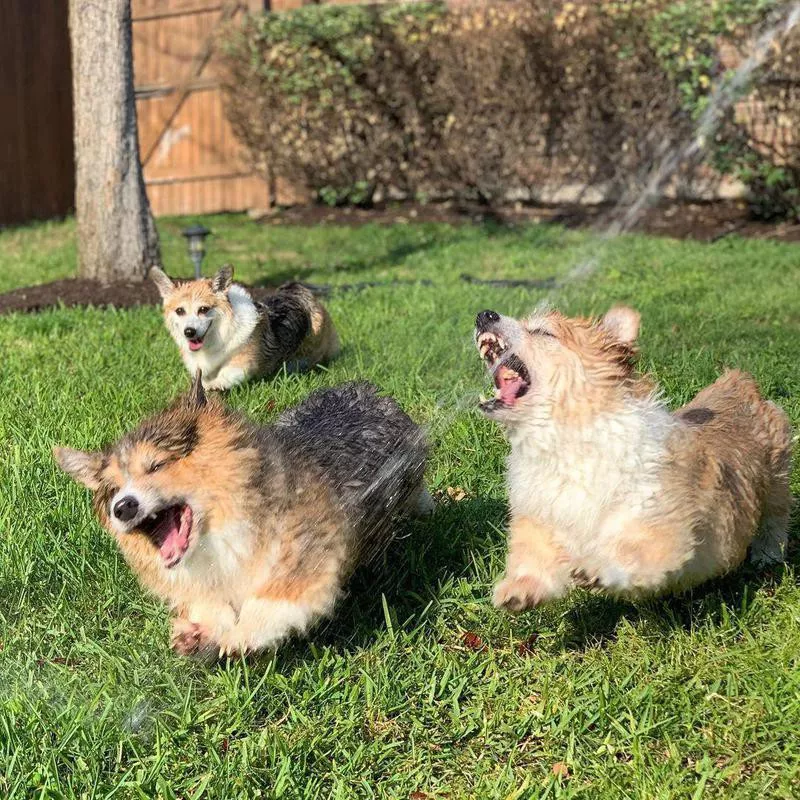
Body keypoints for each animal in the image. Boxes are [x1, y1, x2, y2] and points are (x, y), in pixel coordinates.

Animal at [53, 376, 432, 656]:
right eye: (113, 490)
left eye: (157, 465)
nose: (123, 507)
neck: (219, 530)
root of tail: (369, 390)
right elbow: (210, 603)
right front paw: (199, 631)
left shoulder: (311, 545)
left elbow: (280, 595)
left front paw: (244, 632)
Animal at [151, 266, 340, 390]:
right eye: (180, 311)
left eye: (203, 309)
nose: (189, 332)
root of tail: (298, 289)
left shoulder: (244, 362)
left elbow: (227, 373)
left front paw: (213, 385)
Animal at [476, 306, 792, 608]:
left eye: (543, 332)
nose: (484, 315)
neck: (564, 441)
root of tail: (739, 382)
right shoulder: (542, 518)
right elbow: (533, 558)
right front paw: (520, 588)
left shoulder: (658, 520)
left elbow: (630, 550)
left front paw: (599, 566)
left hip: (777, 479)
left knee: (776, 519)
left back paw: (767, 553)